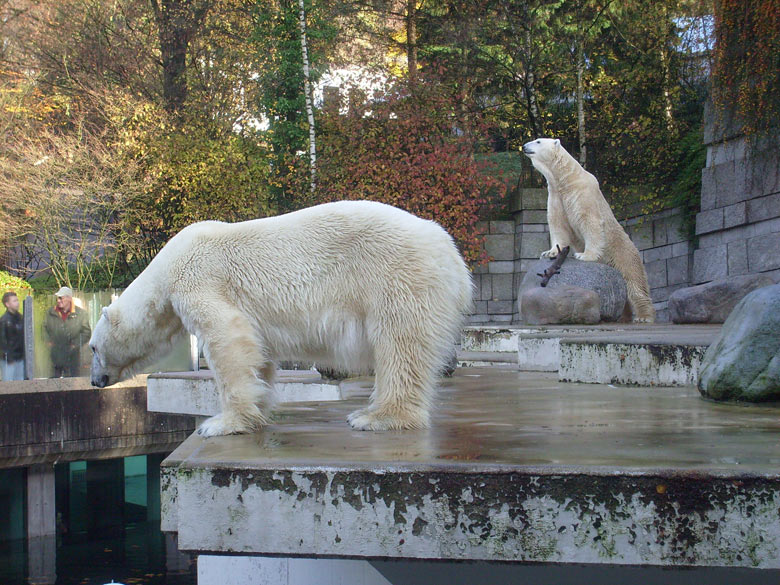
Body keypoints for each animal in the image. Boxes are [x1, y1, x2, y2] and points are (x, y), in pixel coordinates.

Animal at [88, 201, 472, 434]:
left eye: (92, 347)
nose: (94, 381)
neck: (166, 268)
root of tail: (451, 251)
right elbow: (257, 350)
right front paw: (257, 410)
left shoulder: (200, 280)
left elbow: (228, 339)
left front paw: (221, 423)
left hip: (397, 276)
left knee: (400, 345)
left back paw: (376, 416)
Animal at [520, 137, 656, 322]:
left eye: (539, 141)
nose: (524, 146)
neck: (565, 179)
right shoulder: (555, 196)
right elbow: (557, 224)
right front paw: (550, 253)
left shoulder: (582, 193)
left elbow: (590, 222)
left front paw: (584, 255)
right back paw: (623, 317)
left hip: (624, 254)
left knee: (634, 284)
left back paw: (643, 316)